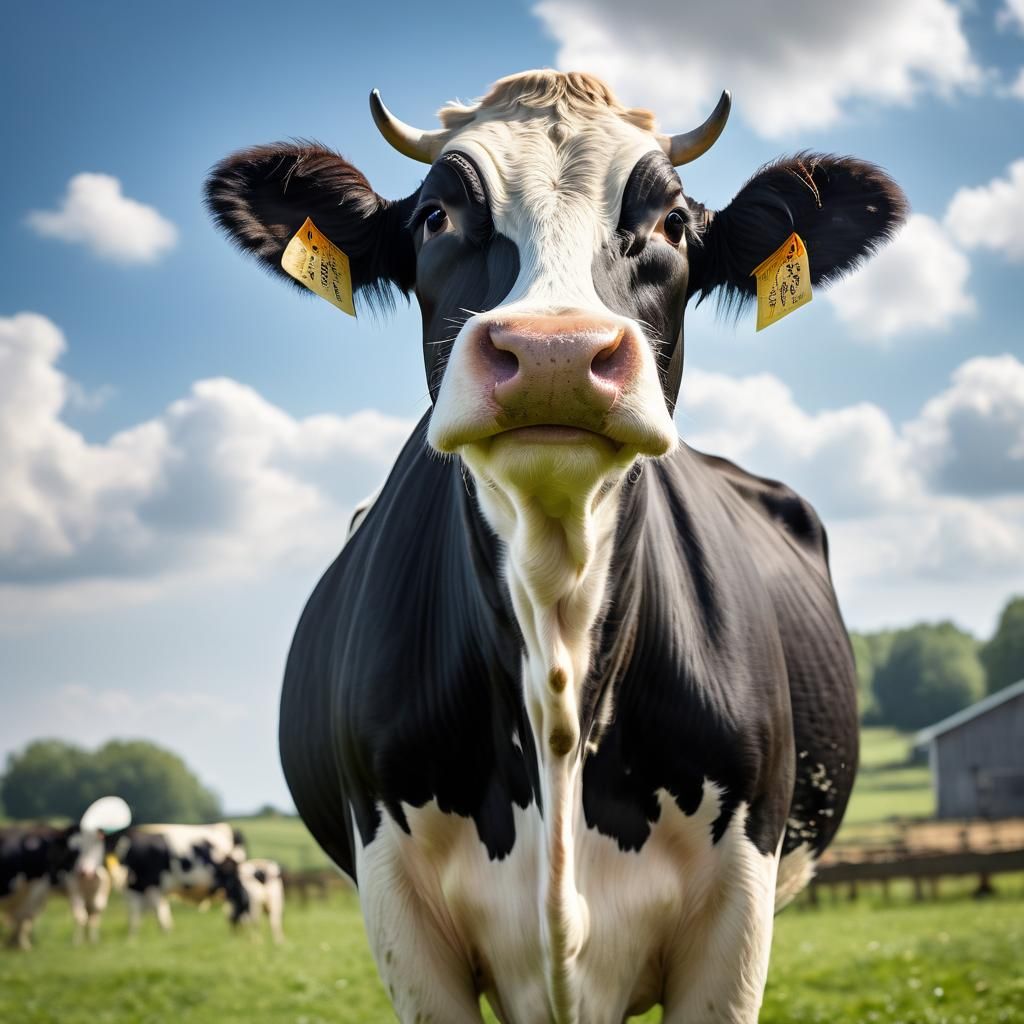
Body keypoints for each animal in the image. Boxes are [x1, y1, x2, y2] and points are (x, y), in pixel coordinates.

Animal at [112, 823, 248, 935]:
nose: (122, 874)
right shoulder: (138, 889)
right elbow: (139, 915)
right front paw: (133, 938)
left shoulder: (153, 885)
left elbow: (158, 912)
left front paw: (165, 933)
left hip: (234, 883)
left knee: (239, 904)